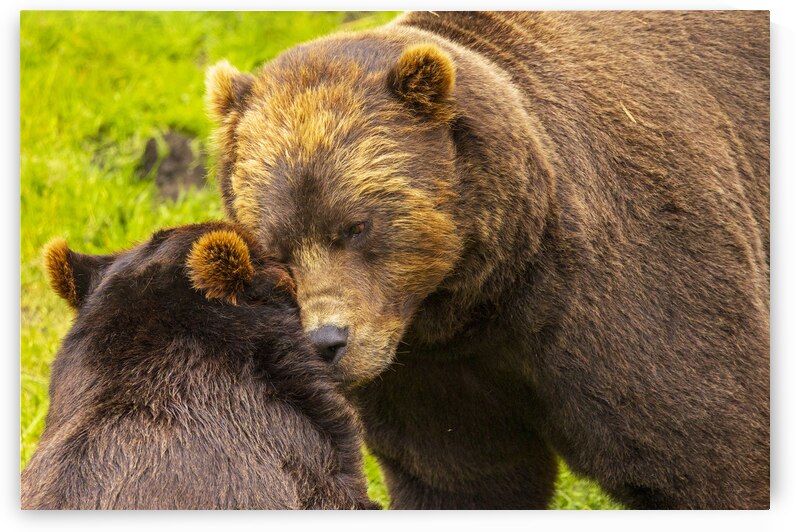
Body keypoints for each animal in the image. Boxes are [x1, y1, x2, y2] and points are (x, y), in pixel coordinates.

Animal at [204, 11, 769, 509]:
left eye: (356, 225)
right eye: (275, 246)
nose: (326, 342)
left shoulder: (631, 283)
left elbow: (704, 453)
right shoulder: (429, 371)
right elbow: (464, 478)